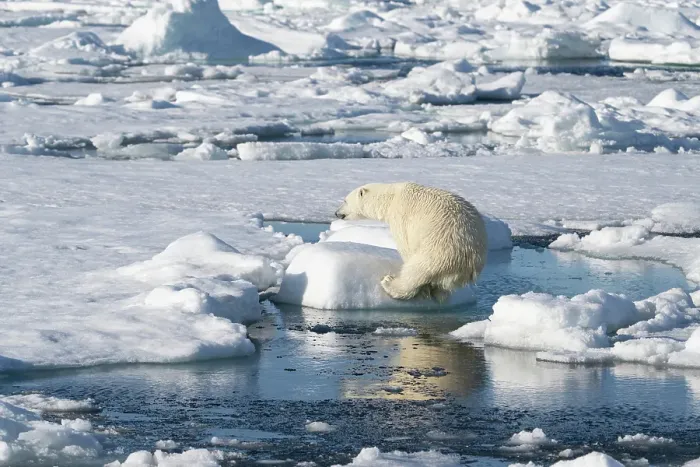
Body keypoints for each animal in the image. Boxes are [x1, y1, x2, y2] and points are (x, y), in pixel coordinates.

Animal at [335, 182, 488, 303]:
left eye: (345, 201)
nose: (336, 213)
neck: (391, 198)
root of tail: (471, 257)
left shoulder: (401, 218)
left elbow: (406, 247)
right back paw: (438, 292)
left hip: (441, 248)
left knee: (416, 270)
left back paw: (390, 283)